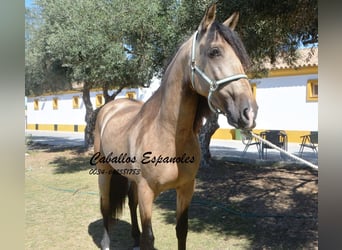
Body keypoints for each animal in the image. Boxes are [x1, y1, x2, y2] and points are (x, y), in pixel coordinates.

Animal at [93, 3, 256, 250]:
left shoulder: (186, 188)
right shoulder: (147, 191)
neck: (168, 134)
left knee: (130, 204)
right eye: (214, 52)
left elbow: (182, 230)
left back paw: (133, 238)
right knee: (104, 205)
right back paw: (105, 242)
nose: (249, 112)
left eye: (239, 55)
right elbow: (149, 237)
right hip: (104, 171)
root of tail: (111, 107)